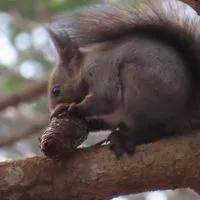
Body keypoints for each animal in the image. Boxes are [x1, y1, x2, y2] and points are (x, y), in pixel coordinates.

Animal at [47, 0, 200, 158]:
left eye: (56, 90)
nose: (52, 115)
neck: (85, 65)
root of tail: (183, 112)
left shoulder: (100, 71)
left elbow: (105, 97)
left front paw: (72, 108)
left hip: (139, 89)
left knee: (154, 130)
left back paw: (125, 138)